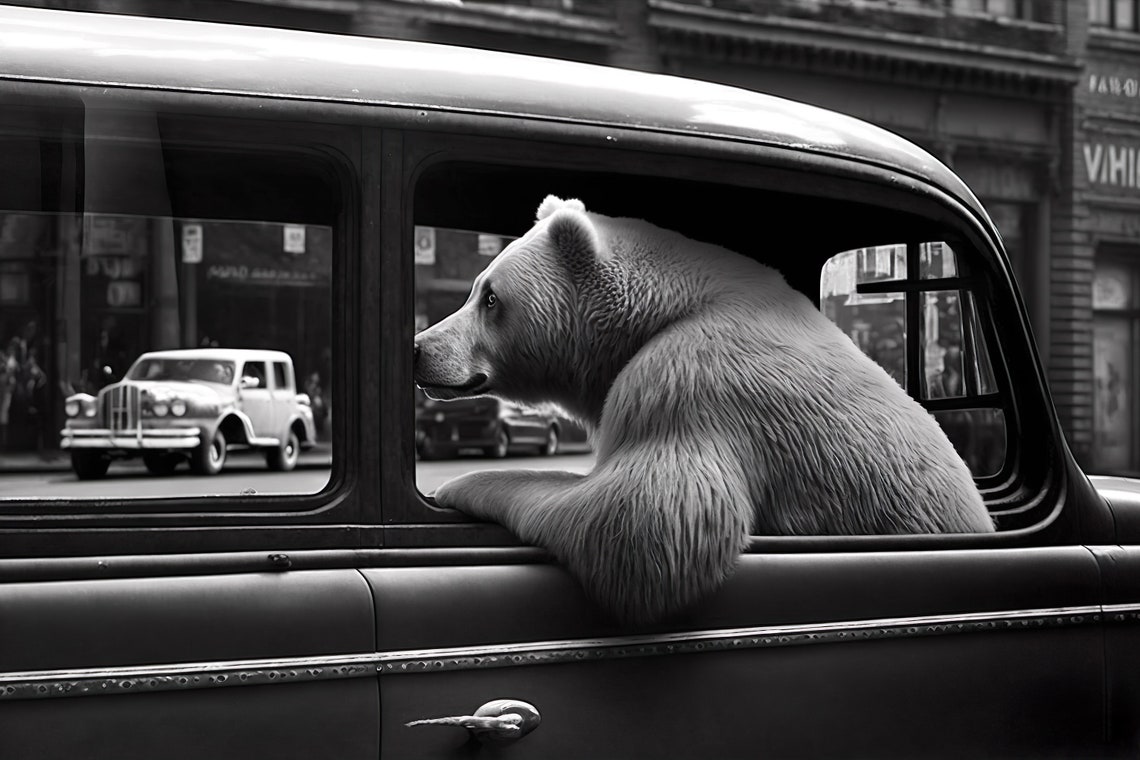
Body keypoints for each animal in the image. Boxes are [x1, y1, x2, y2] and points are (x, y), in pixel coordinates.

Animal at [413, 195, 994, 624]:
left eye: (491, 298)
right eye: (477, 288)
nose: (419, 346)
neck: (662, 309)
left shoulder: (689, 379)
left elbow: (642, 525)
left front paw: (461, 484)